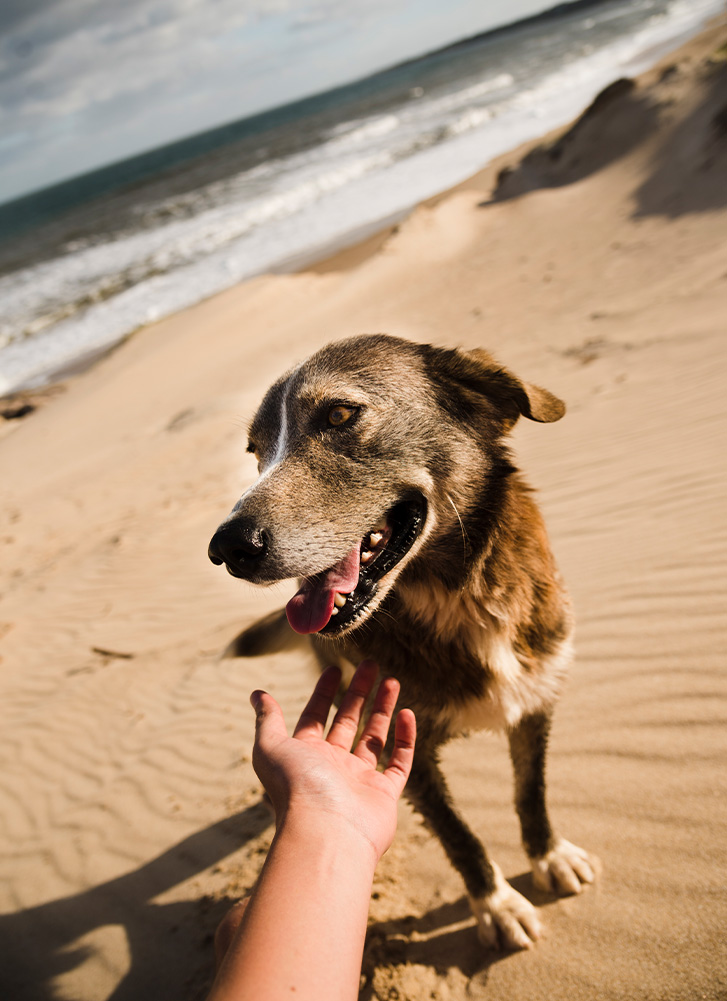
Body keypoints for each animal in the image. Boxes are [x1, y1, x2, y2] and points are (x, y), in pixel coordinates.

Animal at [208, 334, 596, 944]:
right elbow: (459, 833)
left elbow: (530, 794)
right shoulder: (398, 740)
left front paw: (548, 855)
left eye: (339, 415)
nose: (226, 547)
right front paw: (496, 905)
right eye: (255, 451)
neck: (458, 595)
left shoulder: (535, 704)